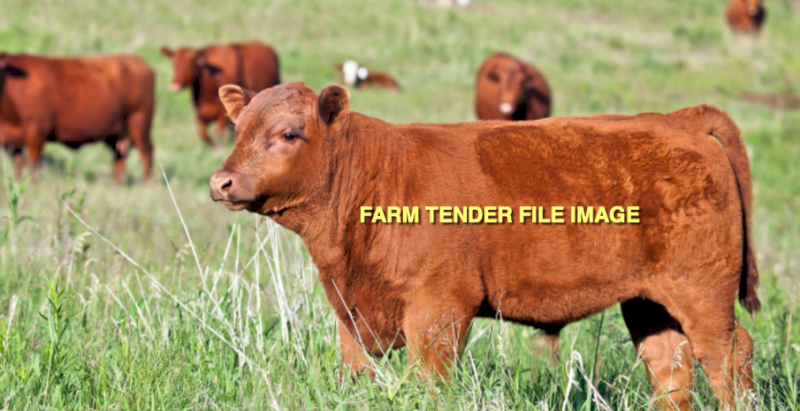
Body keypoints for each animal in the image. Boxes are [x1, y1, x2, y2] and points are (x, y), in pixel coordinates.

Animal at [0, 52, 154, 183]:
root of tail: (136, 60)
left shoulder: (37, 131)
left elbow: (33, 164)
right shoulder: (11, 141)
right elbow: (19, 165)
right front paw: (18, 183)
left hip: (139, 124)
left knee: (146, 153)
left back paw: (147, 184)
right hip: (116, 134)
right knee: (119, 158)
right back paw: (118, 184)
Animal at [209, 82, 759, 410]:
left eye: (289, 134)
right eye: (238, 129)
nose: (221, 182)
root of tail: (677, 119)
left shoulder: (439, 308)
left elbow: (432, 378)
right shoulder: (351, 311)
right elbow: (356, 372)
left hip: (702, 292)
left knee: (728, 355)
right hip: (649, 301)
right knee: (671, 365)